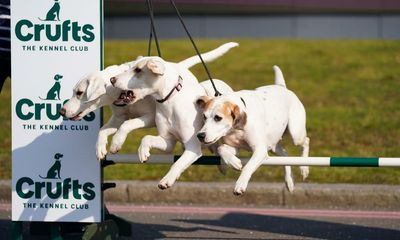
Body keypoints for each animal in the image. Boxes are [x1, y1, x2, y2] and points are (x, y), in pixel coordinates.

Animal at [61, 42, 239, 160]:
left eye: (79, 93)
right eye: (74, 92)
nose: (62, 111)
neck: (121, 94)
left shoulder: (149, 117)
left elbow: (128, 125)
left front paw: (116, 143)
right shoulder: (118, 118)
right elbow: (103, 130)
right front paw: (100, 149)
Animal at [110, 42, 238, 189]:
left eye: (138, 70)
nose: (112, 79)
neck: (169, 101)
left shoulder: (192, 148)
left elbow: (177, 163)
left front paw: (167, 180)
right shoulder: (168, 141)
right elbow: (147, 138)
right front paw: (143, 152)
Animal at [195, 65, 310, 195]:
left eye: (218, 118)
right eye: (204, 117)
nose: (200, 135)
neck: (236, 129)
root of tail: (282, 86)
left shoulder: (260, 151)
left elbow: (247, 167)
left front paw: (240, 185)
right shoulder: (235, 147)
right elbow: (221, 148)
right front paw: (234, 163)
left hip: (295, 134)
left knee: (306, 141)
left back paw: (304, 168)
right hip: (273, 146)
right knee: (285, 154)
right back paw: (289, 181)